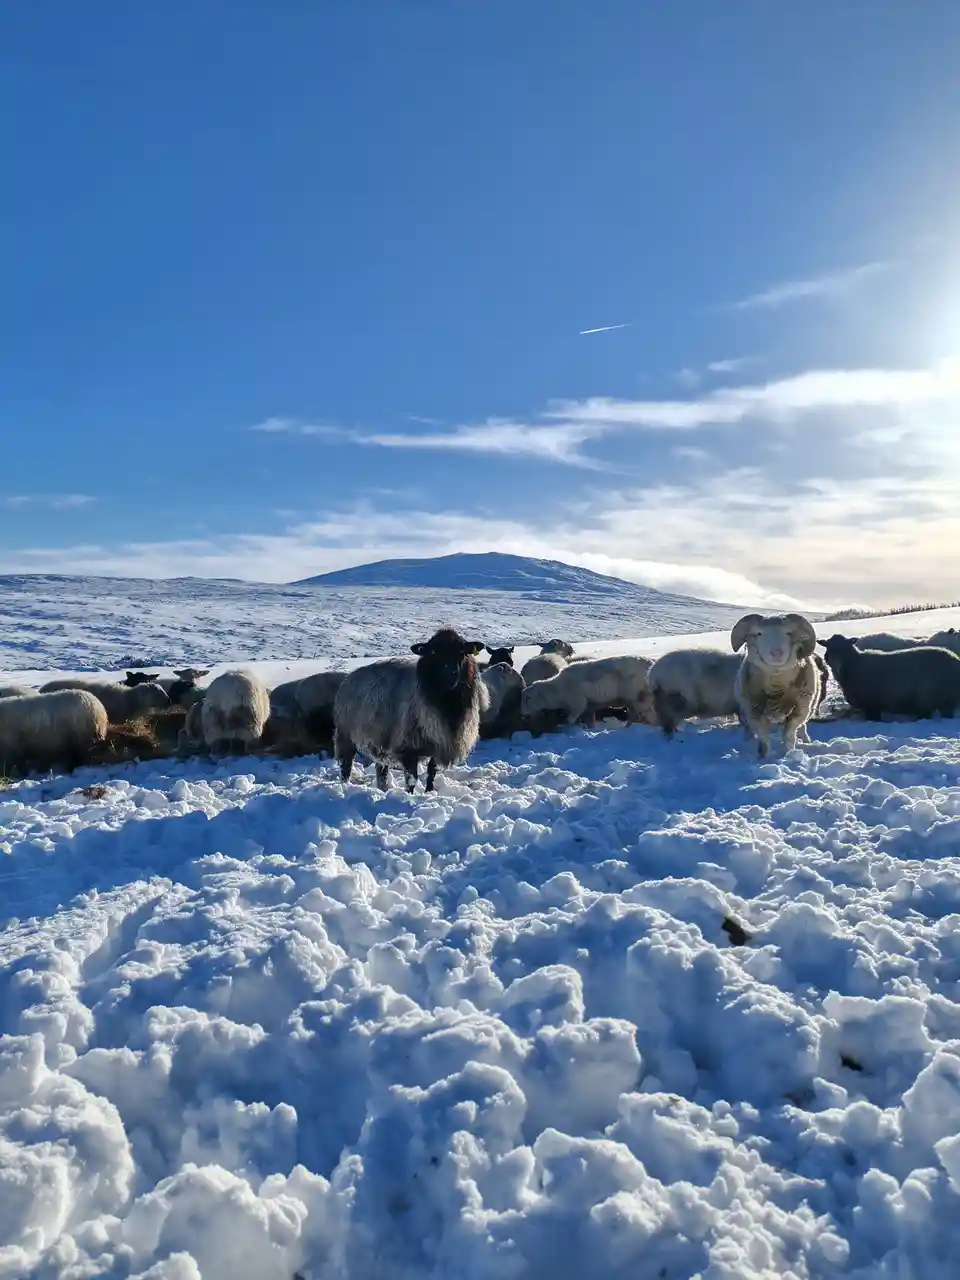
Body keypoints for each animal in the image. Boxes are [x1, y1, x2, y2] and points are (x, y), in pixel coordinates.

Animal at [333, 627, 487, 792]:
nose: (451, 675)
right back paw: (344, 786)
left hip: (380, 742)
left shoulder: (438, 746)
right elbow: (412, 779)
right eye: (433, 653)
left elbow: (431, 773)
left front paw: (429, 792)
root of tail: (348, 678)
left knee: (381, 771)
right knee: (345, 766)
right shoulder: (408, 747)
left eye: (461, 651)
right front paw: (410, 795)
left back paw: (383, 789)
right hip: (345, 736)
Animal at [521, 655, 654, 730]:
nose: (523, 713)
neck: (557, 690)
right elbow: (589, 720)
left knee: (642, 714)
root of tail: (651, 663)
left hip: (637, 696)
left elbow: (571, 719)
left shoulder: (578, 702)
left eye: (529, 698)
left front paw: (565, 727)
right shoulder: (590, 706)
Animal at [731, 613, 820, 757]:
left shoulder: (799, 710)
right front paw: (764, 757)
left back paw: (806, 740)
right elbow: (764, 739)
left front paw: (789, 753)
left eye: (788, 633)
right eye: (759, 633)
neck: (776, 688)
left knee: (802, 727)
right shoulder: (754, 712)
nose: (777, 652)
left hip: (809, 708)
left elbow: (789, 735)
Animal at [820, 634, 960, 720]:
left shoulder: (872, 704)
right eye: (829, 648)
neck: (855, 664)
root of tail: (955, 658)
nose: (837, 666)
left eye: (844, 647)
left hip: (940, 697)